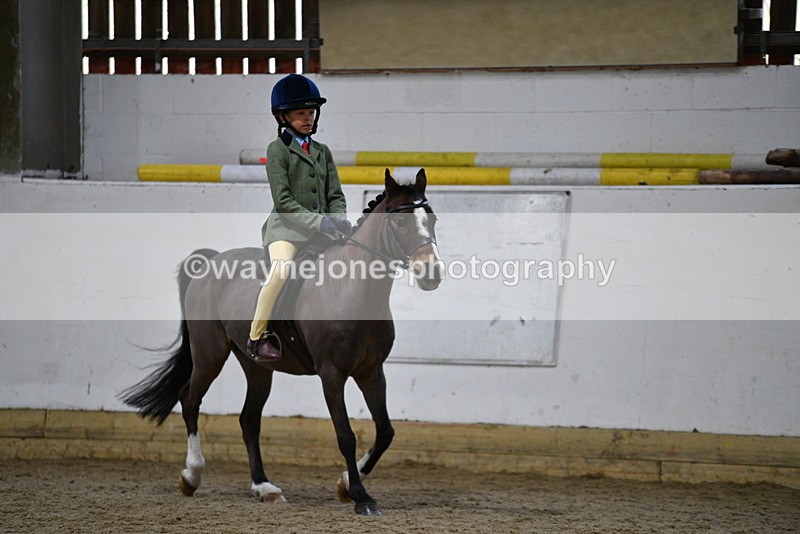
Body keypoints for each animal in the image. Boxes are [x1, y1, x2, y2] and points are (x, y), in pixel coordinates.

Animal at [120, 168, 443, 515]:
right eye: (400, 222)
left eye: (432, 218)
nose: (431, 273)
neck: (352, 292)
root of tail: (211, 261)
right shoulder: (331, 374)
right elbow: (345, 436)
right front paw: (360, 496)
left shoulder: (371, 371)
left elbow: (385, 432)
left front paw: (344, 485)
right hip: (209, 355)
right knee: (190, 400)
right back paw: (192, 476)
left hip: (257, 366)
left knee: (249, 420)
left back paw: (264, 487)